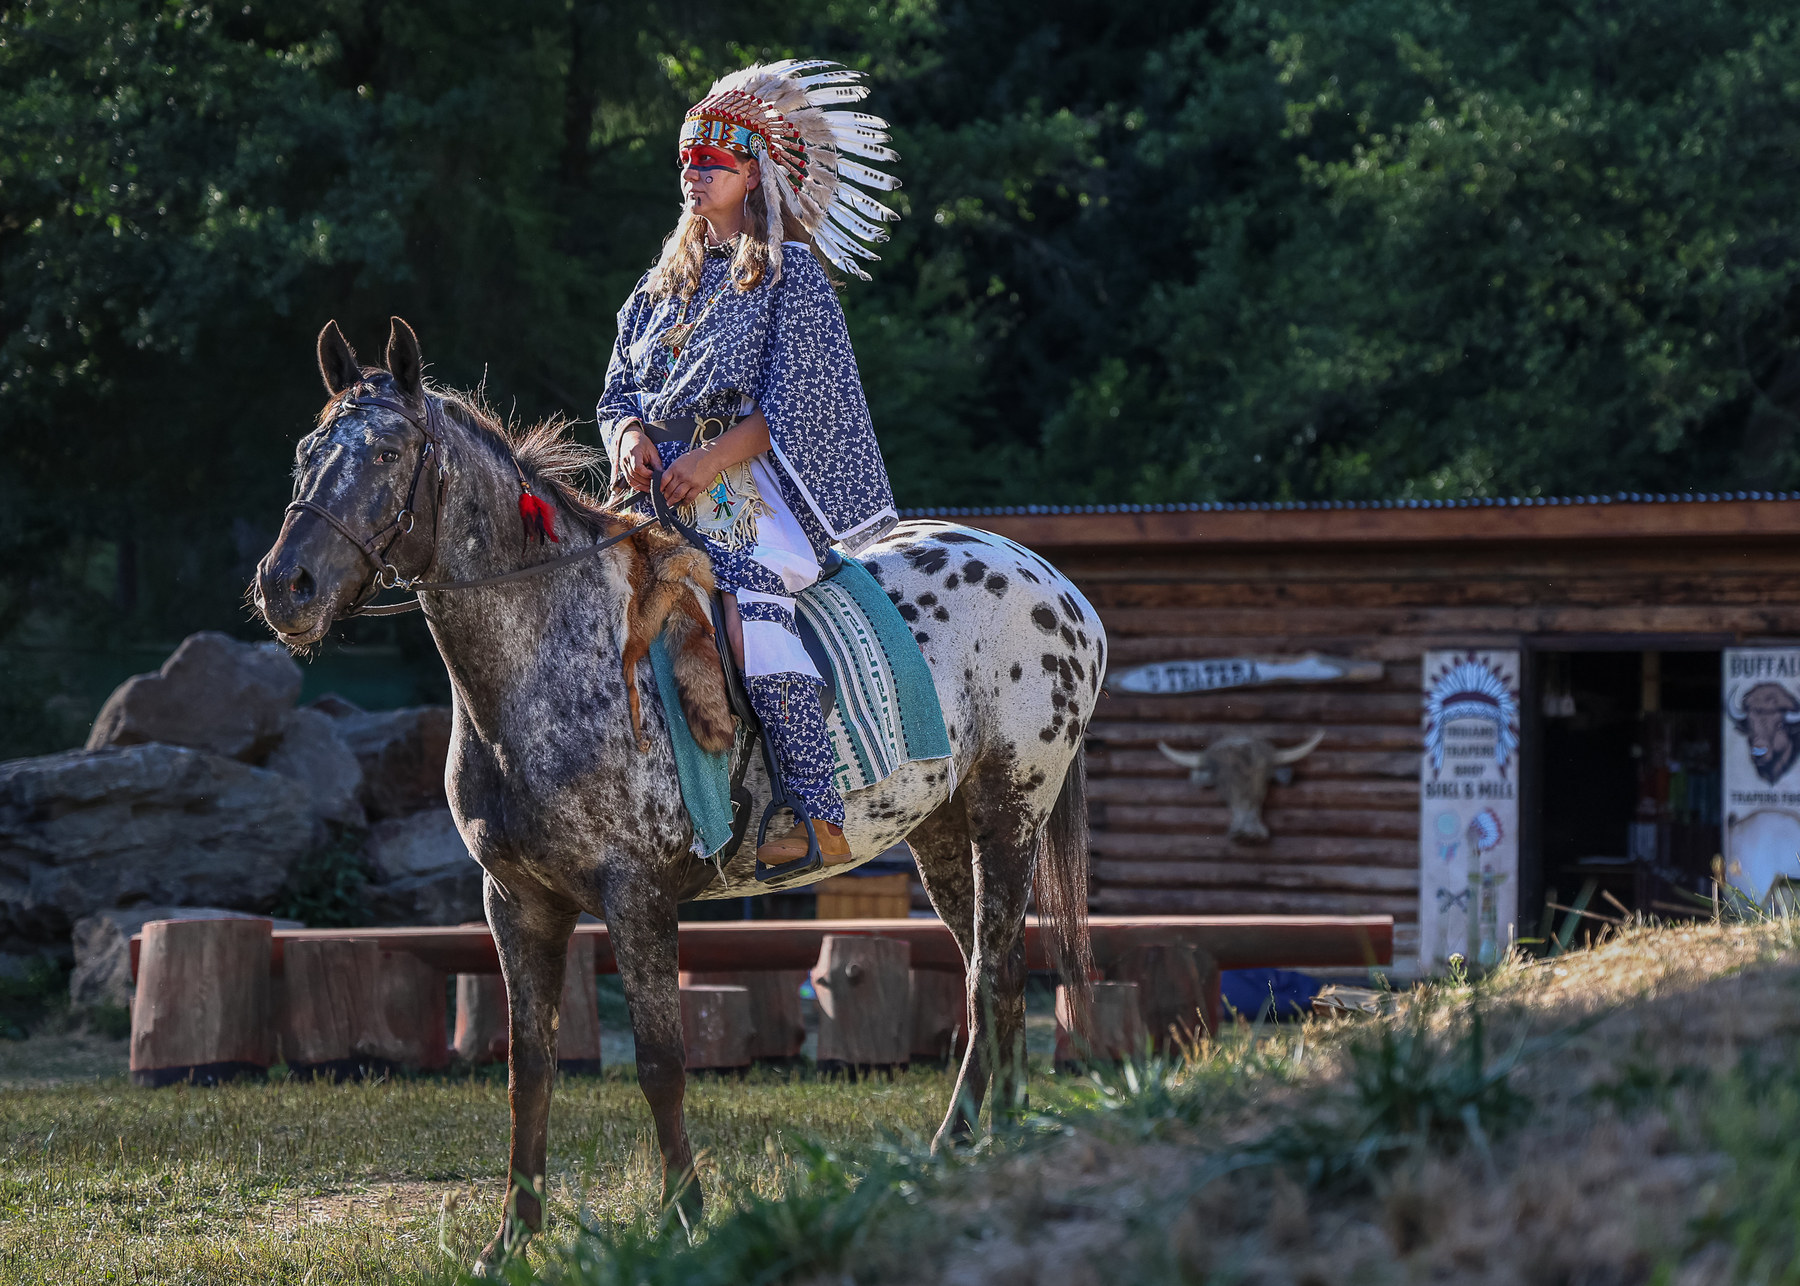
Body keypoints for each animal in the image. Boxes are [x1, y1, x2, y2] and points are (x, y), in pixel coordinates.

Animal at [254, 318, 1106, 1270]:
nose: (286, 587)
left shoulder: (637, 897)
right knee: (992, 979)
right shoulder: (516, 901)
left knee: (994, 974)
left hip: (1008, 817)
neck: (552, 655)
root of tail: (1056, 585)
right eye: (307, 453)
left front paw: (687, 1219)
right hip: (941, 834)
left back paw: (961, 1144)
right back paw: (988, 1147)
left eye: (390, 450)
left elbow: (661, 1062)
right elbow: (527, 1068)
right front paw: (511, 1239)